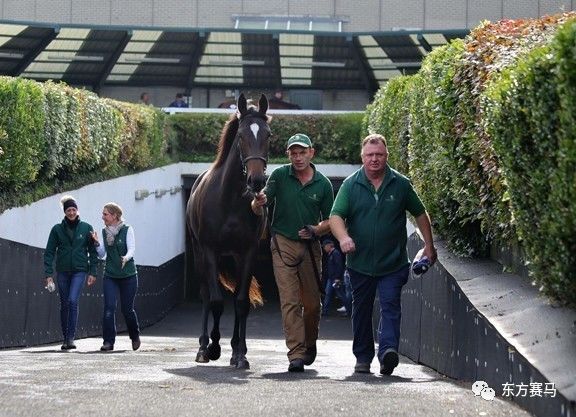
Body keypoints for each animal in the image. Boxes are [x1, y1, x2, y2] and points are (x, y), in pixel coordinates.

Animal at [187, 93, 272, 368]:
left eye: (268, 135)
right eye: (241, 135)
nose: (257, 182)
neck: (231, 200)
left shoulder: (247, 252)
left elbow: (241, 302)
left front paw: (240, 354)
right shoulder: (210, 251)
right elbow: (215, 301)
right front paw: (213, 347)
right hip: (199, 254)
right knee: (206, 295)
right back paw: (203, 346)